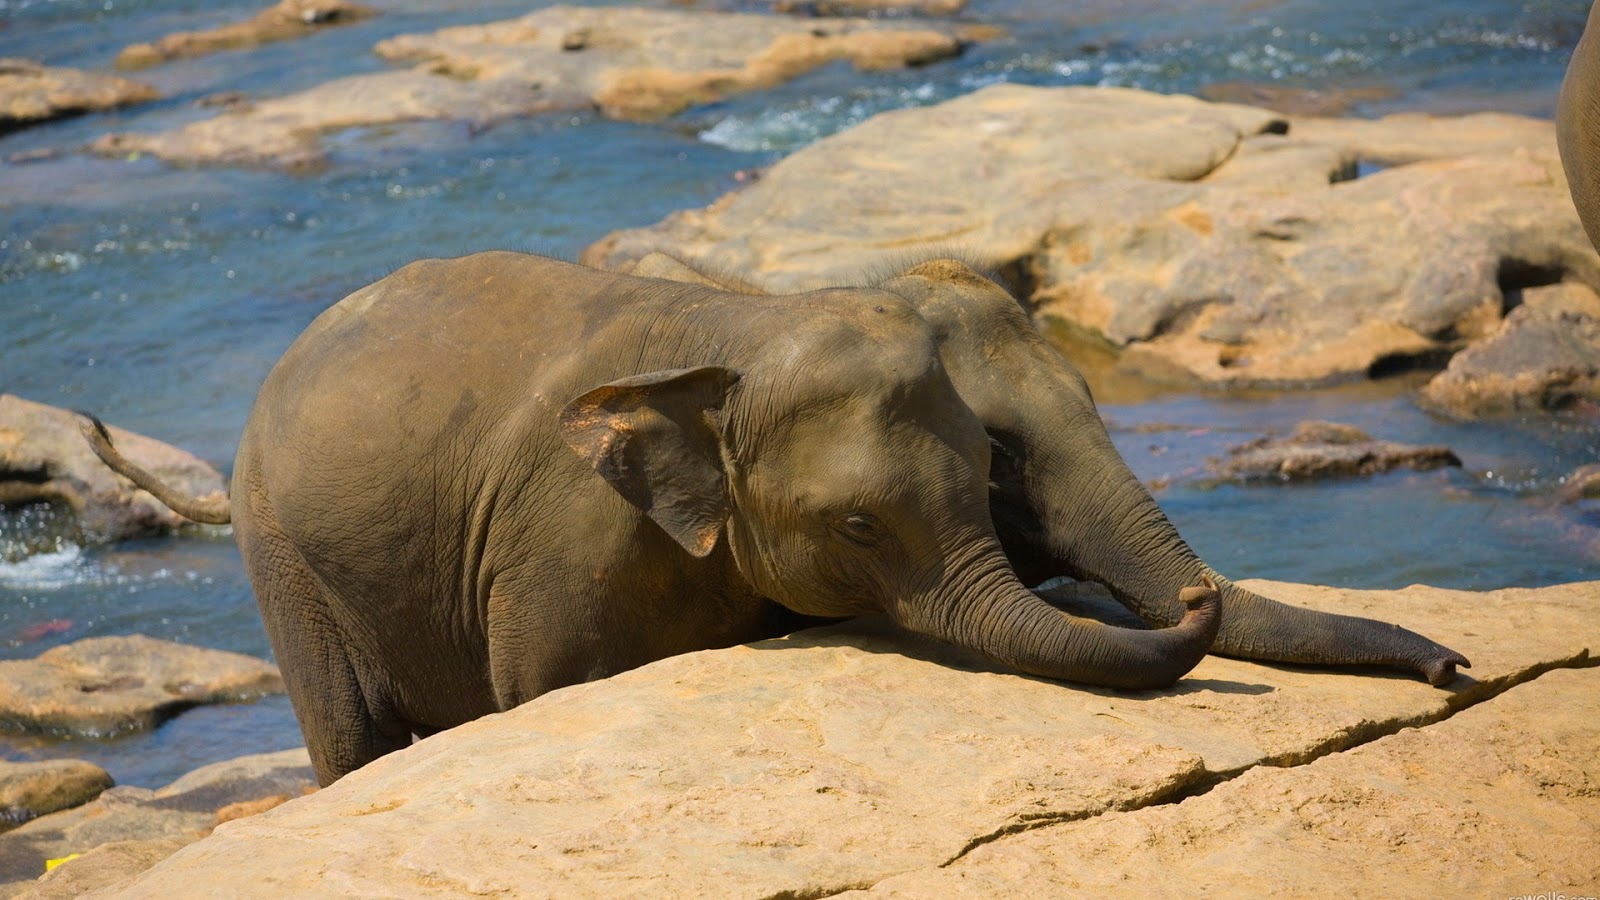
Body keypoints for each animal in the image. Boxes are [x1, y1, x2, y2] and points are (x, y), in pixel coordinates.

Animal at [84, 248, 1465, 781]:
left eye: (987, 477)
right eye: (857, 529)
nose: (1453, 666)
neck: (747, 317)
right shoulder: (556, 544)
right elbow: (545, 695)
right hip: (282, 554)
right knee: (351, 736)